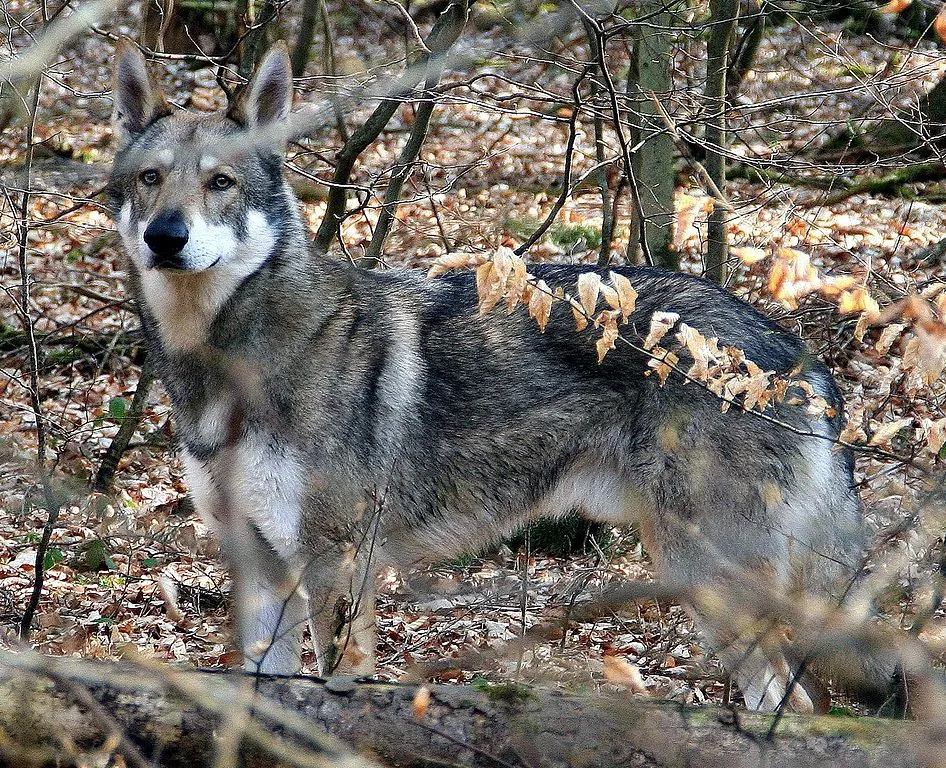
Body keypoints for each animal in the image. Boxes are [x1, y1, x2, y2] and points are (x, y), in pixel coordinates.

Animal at [109, 40, 872, 712]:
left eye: (221, 182)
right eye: (151, 179)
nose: (166, 237)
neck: (230, 366)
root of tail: (797, 356)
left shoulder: (336, 568)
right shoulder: (258, 570)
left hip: (708, 576)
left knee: (798, 703)